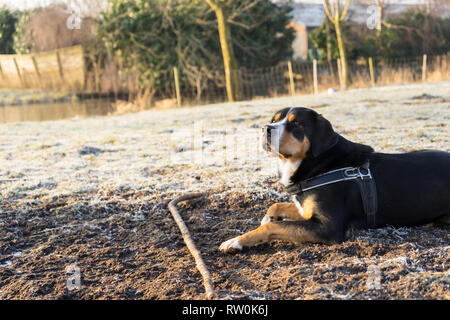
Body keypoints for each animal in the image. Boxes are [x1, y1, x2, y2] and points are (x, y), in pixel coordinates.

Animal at [219, 107, 450, 252]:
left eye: (297, 124)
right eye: (274, 120)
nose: (265, 129)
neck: (320, 163)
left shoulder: (328, 227)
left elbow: (271, 228)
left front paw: (235, 242)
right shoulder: (307, 209)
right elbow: (277, 206)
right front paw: (268, 217)